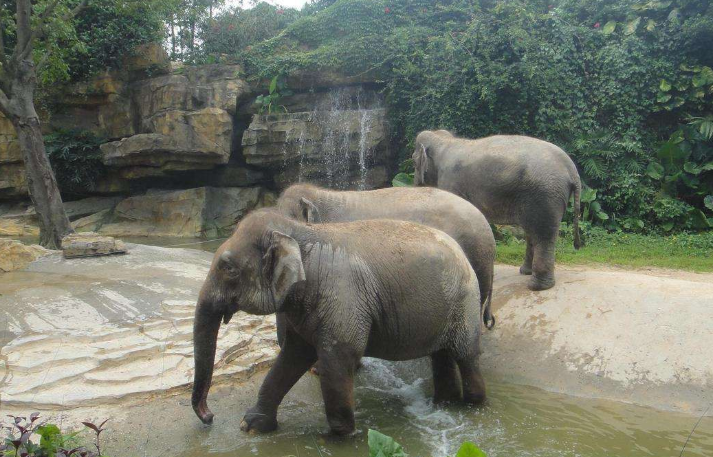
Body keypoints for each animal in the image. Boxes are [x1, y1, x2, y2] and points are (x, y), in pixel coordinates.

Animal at [192, 208, 486, 432]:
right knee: (442, 355)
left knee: (466, 355)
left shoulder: (343, 296)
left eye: (228, 268)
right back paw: (444, 405)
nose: (210, 417)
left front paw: (340, 436)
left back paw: (473, 405)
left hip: (465, 303)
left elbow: (339, 356)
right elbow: (293, 356)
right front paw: (252, 425)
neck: (300, 232)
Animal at [408, 130, 580, 290]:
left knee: (543, 235)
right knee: (532, 231)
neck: (445, 141)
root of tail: (572, 169)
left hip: (545, 195)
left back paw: (537, 286)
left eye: (414, 162)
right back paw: (526, 272)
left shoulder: (450, 181)